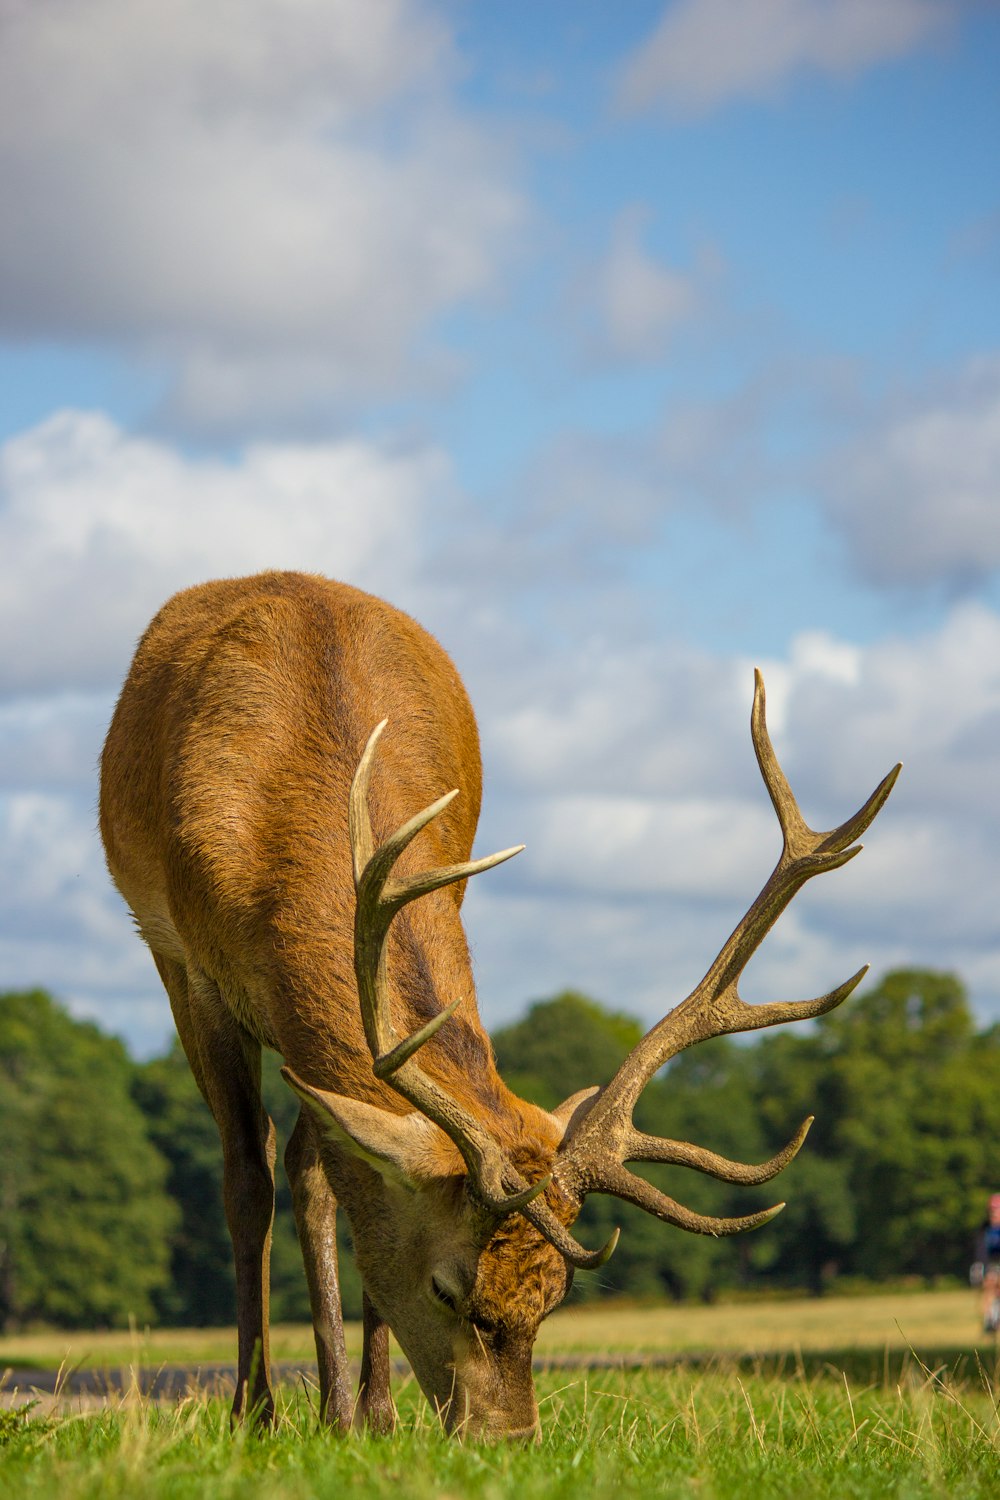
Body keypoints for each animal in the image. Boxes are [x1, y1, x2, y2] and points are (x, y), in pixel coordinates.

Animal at [99, 567, 899, 1434]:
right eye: (448, 1287)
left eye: (557, 1295)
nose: (510, 1437)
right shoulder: (193, 969)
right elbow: (246, 1180)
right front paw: (254, 1413)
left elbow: (344, 1178)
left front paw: (372, 1414)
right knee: (278, 1167)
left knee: (317, 1164)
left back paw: (355, 1408)